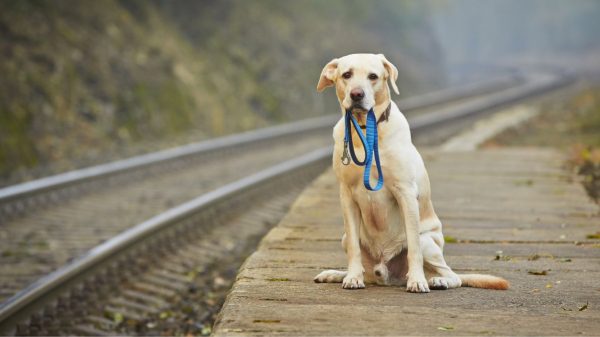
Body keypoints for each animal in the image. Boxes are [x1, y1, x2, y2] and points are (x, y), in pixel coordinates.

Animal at [314, 53, 506, 292]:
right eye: (346, 74)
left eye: (373, 76)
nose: (356, 94)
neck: (366, 132)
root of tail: (387, 274)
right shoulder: (347, 195)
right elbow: (354, 250)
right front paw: (352, 278)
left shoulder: (405, 192)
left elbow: (413, 246)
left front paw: (417, 280)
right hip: (345, 239)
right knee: (361, 259)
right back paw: (337, 274)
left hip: (429, 243)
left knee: (453, 275)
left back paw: (437, 280)